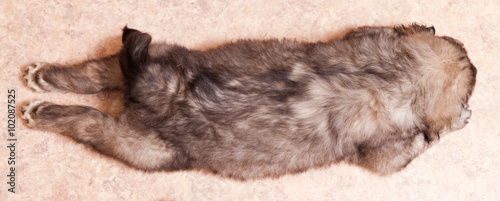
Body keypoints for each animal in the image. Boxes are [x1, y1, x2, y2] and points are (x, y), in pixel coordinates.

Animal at [20, 23, 476, 179]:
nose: (474, 62)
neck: (400, 76)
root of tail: (161, 91)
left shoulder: (363, 39)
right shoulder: (386, 154)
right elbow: (410, 148)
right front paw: (461, 119)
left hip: (163, 56)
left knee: (99, 73)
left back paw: (42, 80)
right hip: (146, 151)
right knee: (89, 122)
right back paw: (43, 112)